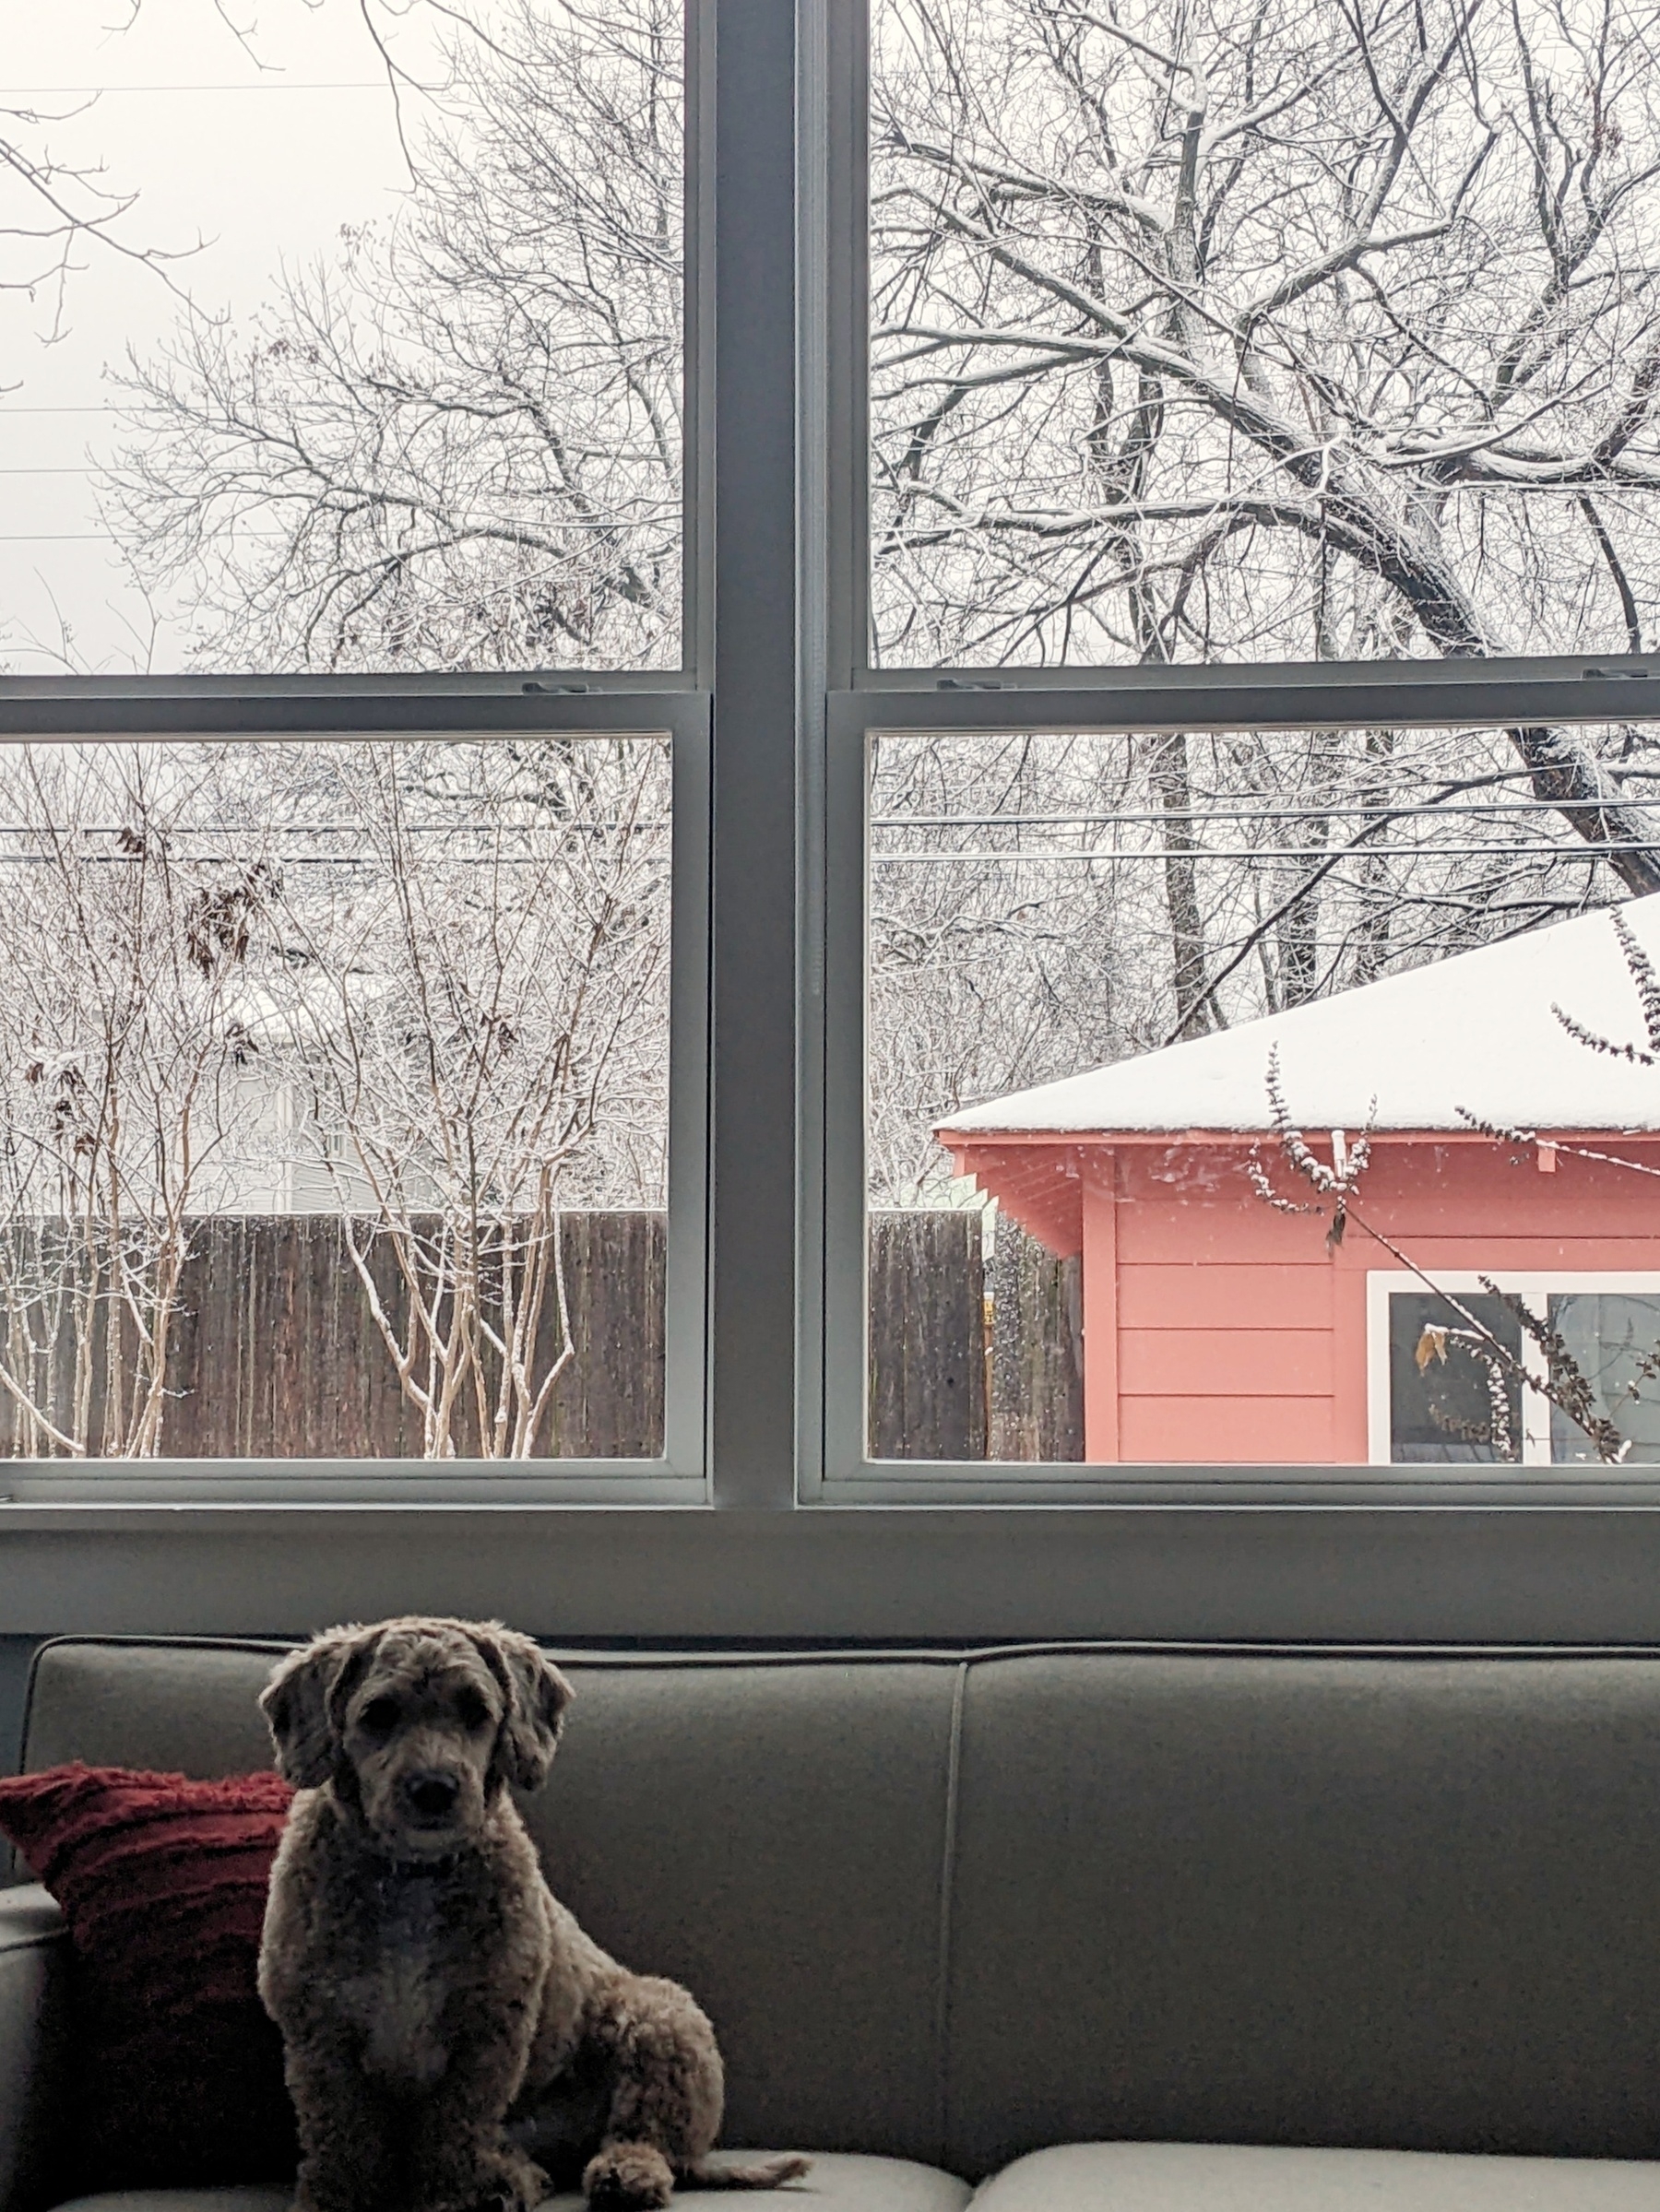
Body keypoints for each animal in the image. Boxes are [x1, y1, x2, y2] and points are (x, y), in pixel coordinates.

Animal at [253, 1610, 814, 2212]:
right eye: (378, 1715)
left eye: (476, 1711)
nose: (435, 1788)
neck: (413, 1876)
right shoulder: (321, 2035)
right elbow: (341, 2133)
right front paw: (335, 2197)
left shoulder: (486, 2037)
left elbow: (455, 2130)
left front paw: (451, 2196)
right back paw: (514, 2179)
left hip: (660, 2020)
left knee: (647, 2137)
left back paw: (621, 2175)